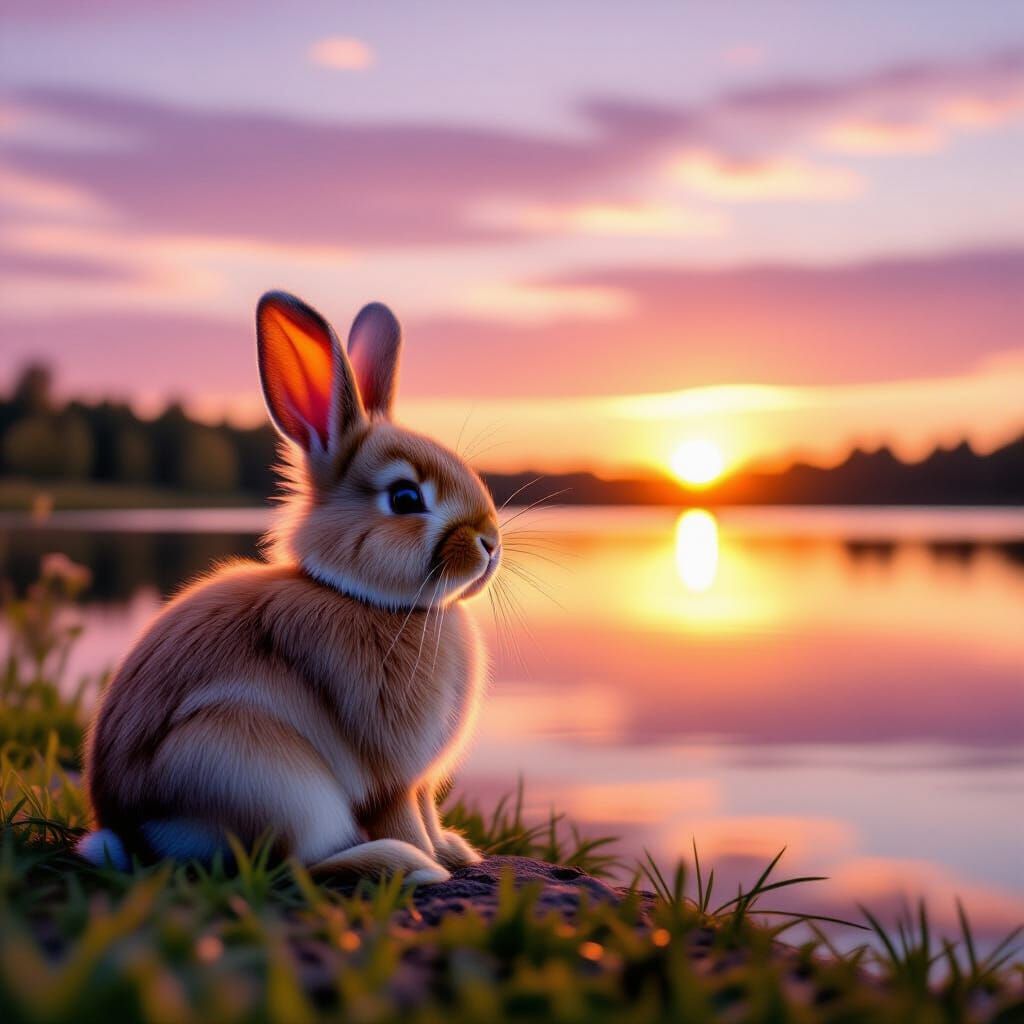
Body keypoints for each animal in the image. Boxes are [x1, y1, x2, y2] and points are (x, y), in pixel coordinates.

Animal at [76, 291, 501, 884]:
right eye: (405, 498)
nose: (490, 544)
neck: (362, 596)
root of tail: (130, 836)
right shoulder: (389, 778)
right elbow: (403, 817)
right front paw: (433, 863)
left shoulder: (417, 783)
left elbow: (427, 814)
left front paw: (454, 852)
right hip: (255, 771)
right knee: (291, 865)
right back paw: (400, 865)